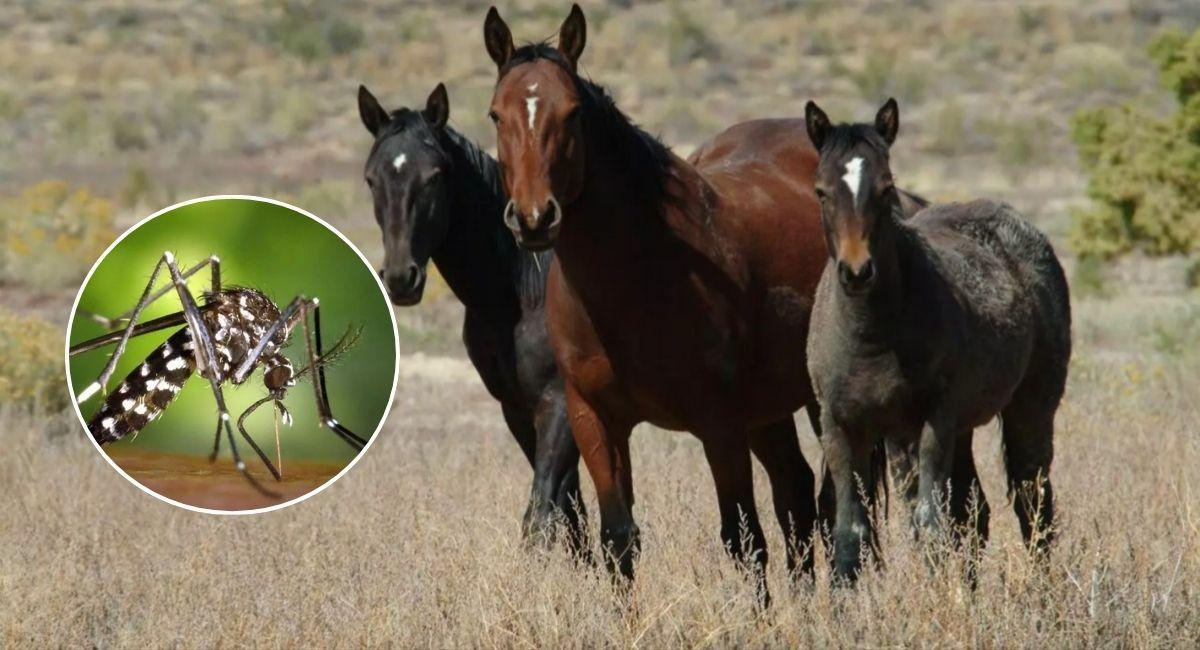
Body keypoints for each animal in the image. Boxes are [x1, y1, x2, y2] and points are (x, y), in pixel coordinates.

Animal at [358, 82, 587, 552]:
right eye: (372, 179)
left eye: (435, 176)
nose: (400, 278)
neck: (521, 293)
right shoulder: (517, 409)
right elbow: (570, 515)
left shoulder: (558, 404)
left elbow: (541, 514)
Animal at [482, 4, 834, 604]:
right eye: (495, 115)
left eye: (572, 113)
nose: (533, 218)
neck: (639, 273)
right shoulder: (595, 420)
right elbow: (619, 541)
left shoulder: (719, 424)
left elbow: (744, 538)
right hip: (769, 408)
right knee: (796, 491)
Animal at [803, 98, 1071, 582]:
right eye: (821, 191)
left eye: (887, 187)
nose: (857, 271)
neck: (873, 336)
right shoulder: (841, 426)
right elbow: (851, 532)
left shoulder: (934, 422)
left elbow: (930, 524)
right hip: (951, 431)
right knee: (976, 514)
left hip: (1029, 409)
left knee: (1032, 503)